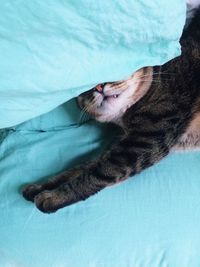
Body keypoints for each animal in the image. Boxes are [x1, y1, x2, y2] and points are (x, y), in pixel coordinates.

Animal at [22, 7, 200, 214]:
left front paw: (54, 196)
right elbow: (81, 167)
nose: (99, 86)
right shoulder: (125, 142)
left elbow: (97, 173)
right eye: (84, 87)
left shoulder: (144, 139)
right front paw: (41, 186)